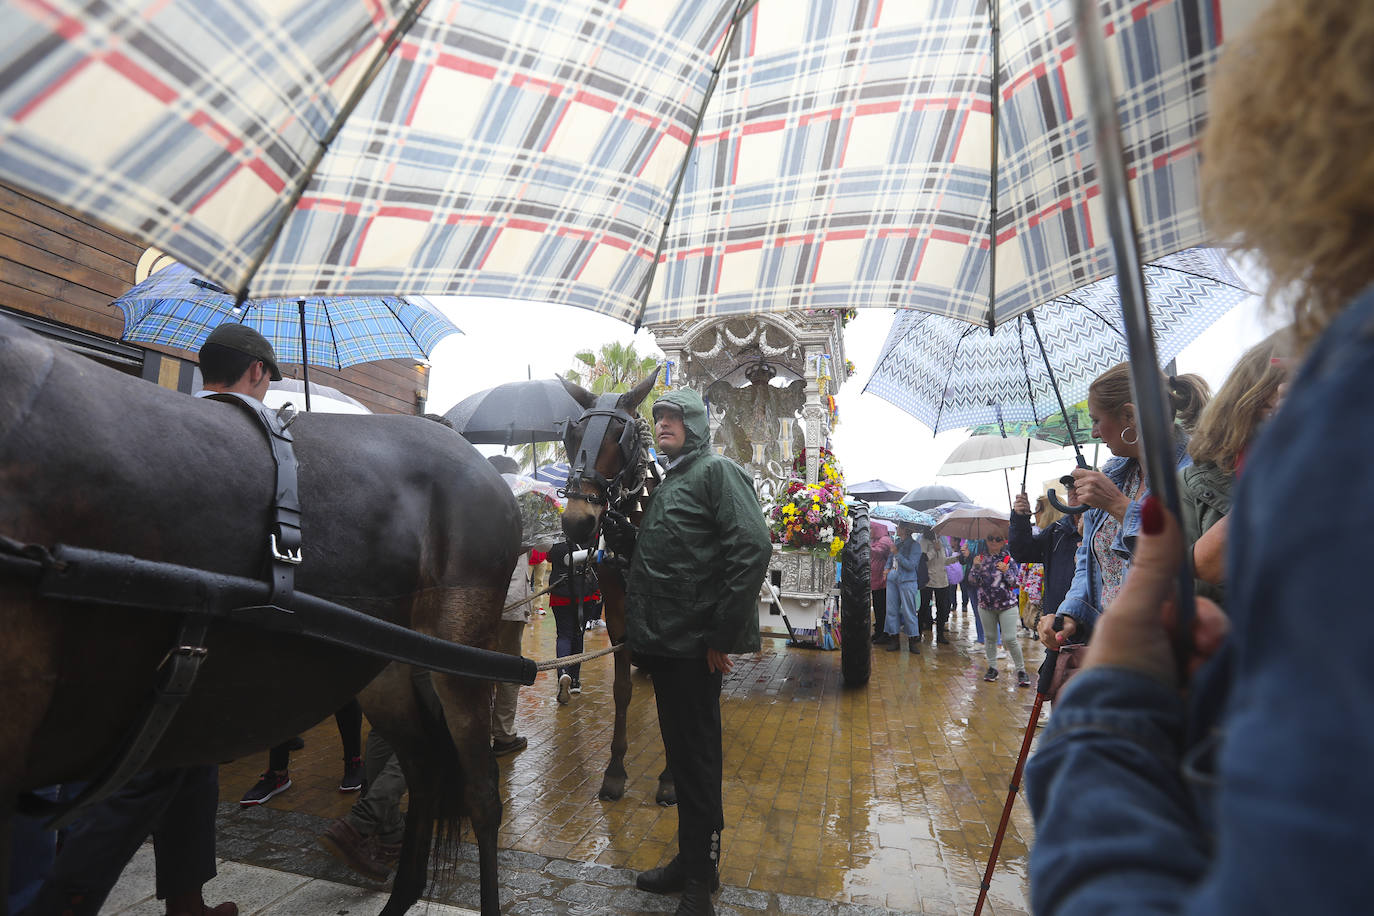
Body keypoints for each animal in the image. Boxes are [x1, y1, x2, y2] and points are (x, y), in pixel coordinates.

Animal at [552, 370, 670, 802]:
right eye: (572, 435)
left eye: (623, 436)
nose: (577, 522)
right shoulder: (618, 611)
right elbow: (621, 689)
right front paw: (615, 769)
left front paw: (670, 778)